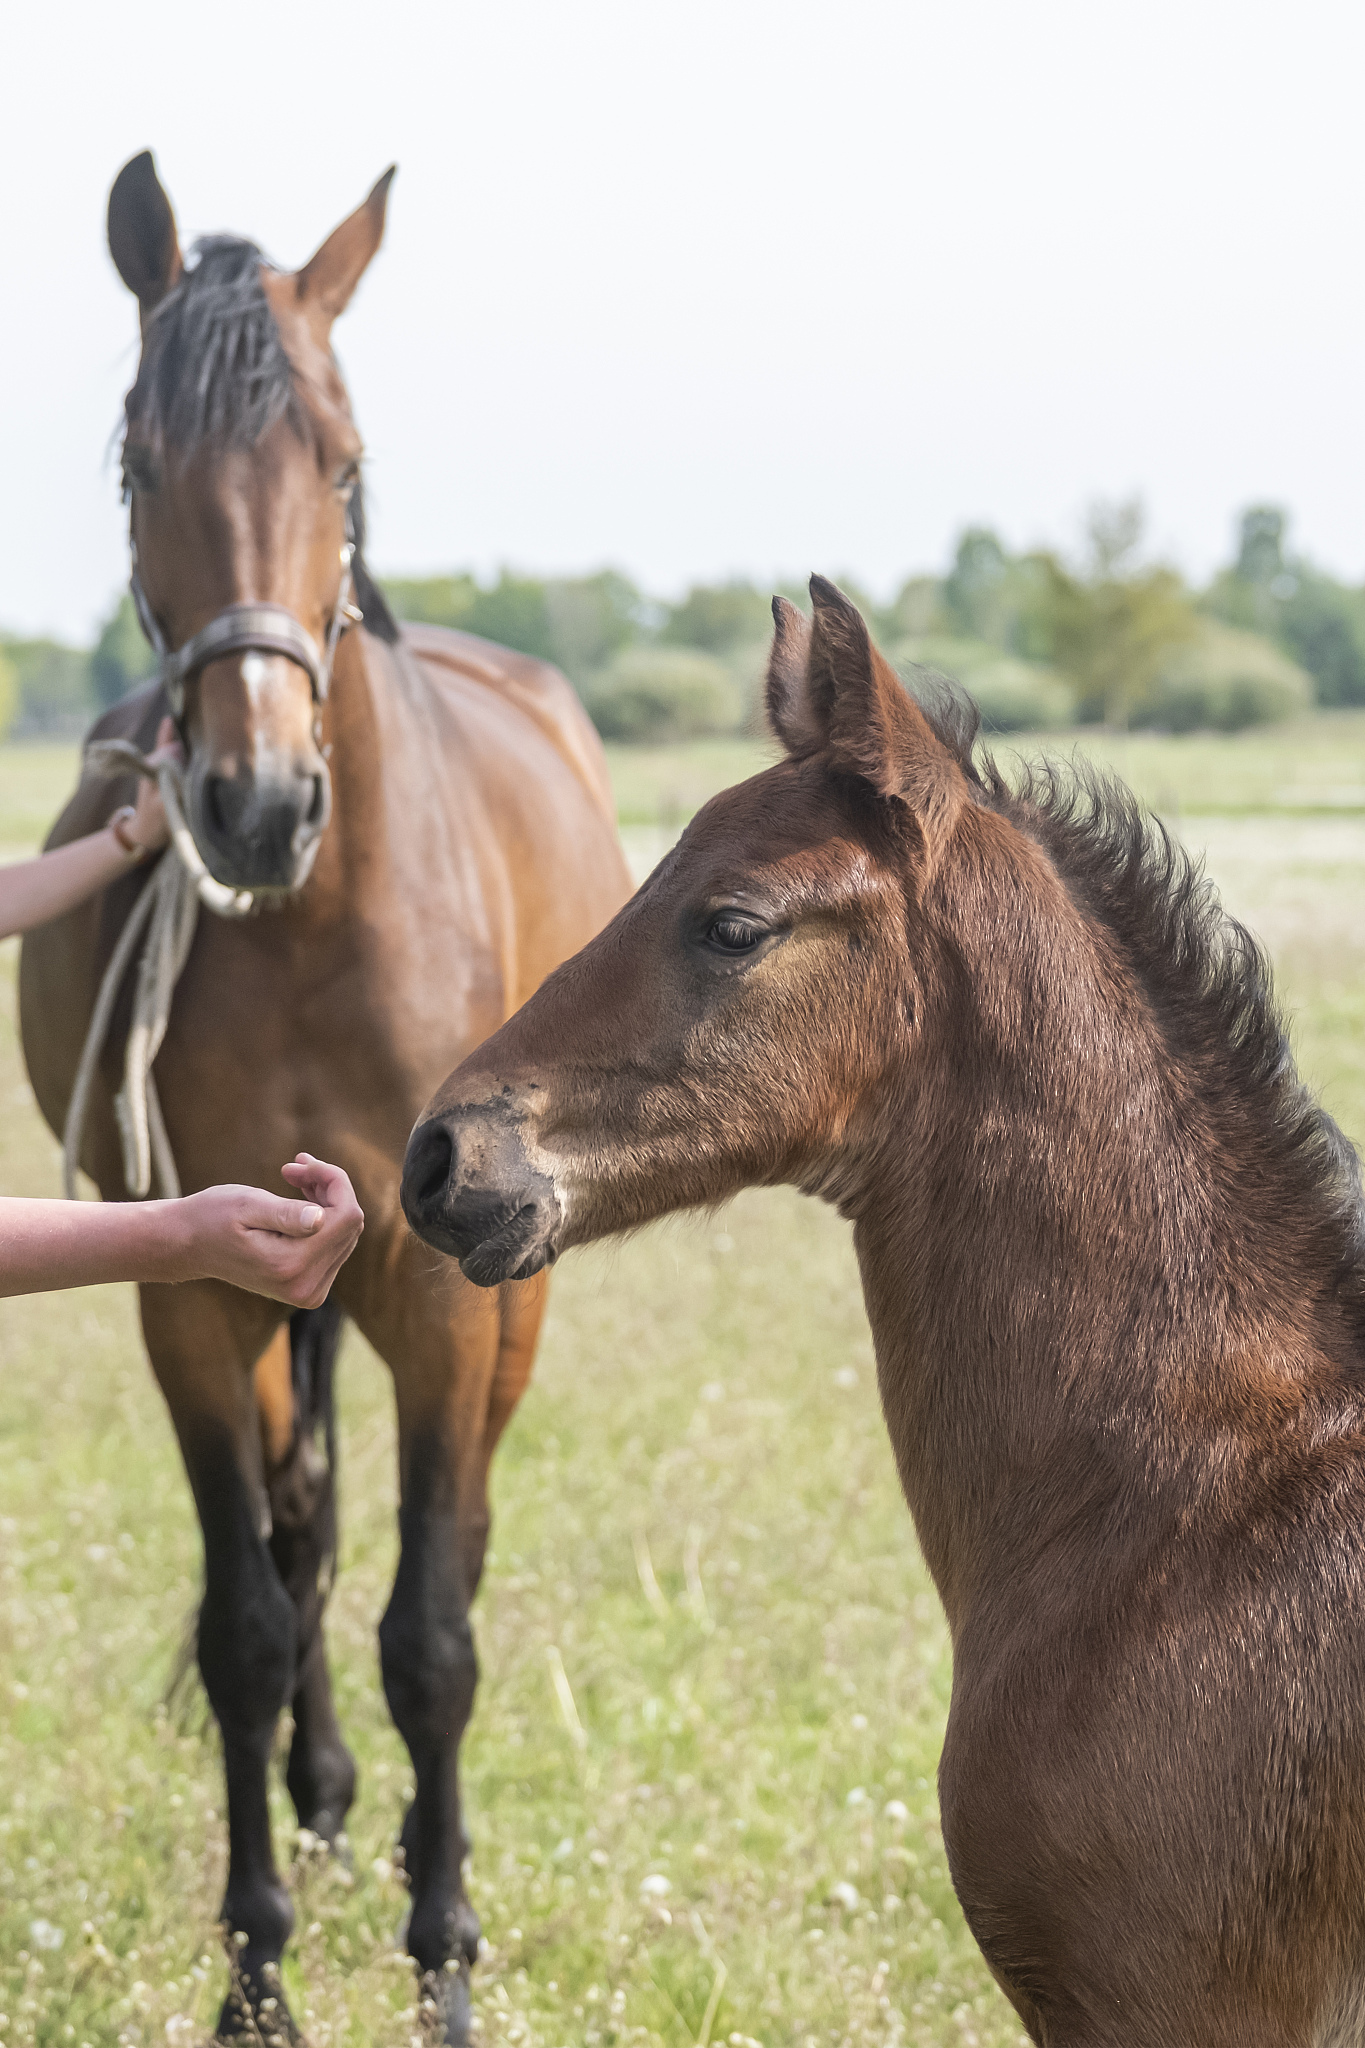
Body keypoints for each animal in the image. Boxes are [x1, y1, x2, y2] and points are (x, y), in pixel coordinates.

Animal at [19, 151, 630, 2046]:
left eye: (343, 464)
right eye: (135, 464)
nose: (254, 802)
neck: (317, 916)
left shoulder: (434, 1281)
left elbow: (432, 1628)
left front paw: (443, 1959)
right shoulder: (197, 1278)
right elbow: (247, 1621)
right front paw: (257, 1975)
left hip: (501, 1309)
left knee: (451, 1545)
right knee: (303, 1543)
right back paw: (328, 1800)